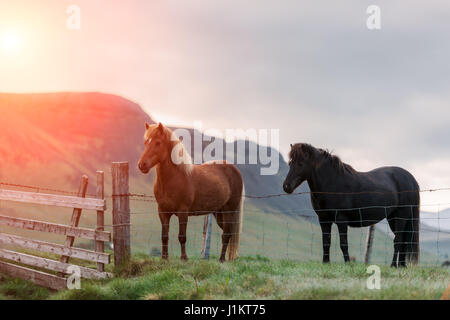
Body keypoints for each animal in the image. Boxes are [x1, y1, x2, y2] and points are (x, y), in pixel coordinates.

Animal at [138, 124, 244, 262]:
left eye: (158, 142)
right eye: (146, 142)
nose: (142, 165)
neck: (175, 178)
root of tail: (234, 170)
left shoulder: (183, 212)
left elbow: (182, 236)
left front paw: (184, 258)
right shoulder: (163, 212)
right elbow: (164, 236)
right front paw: (164, 258)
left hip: (229, 211)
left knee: (226, 234)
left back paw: (221, 259)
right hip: (219, 213)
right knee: (228, 233)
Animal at [284, 143, 420, 268]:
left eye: (301, 163)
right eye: (290, 163)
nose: (286, 186)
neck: (332, 182)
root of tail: (410, 179)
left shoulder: (341, 220)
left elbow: (343, 243)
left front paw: (348, 263)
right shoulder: (324, 220)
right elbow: (326, 242)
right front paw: (326, 263)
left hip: (400, 217)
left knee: (398, 240)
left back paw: (393, 265)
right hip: (393, 218)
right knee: (404, 240)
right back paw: (401, 266)